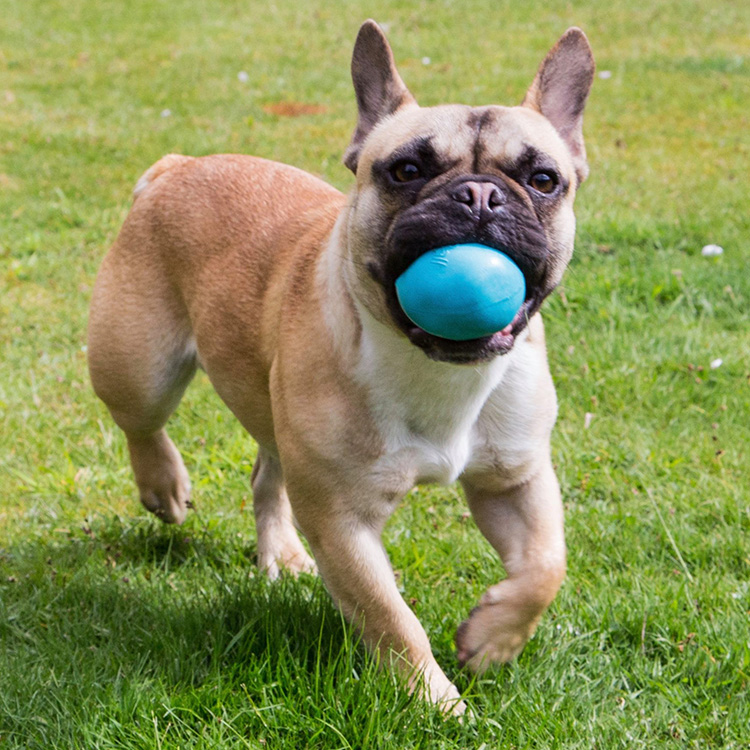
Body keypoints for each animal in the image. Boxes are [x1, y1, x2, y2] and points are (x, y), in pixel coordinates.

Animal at [86, 20, 592, 716]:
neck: (436, 367)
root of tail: (178, 167)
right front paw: (437, 703)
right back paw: (163, 484)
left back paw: (281, 552)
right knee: (142, 421)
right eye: (405, 170)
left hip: (274, 410)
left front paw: (492, 640)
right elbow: (391, 617)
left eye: (543, 179)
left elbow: (545, 566)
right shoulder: (342, 522)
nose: (479, 195)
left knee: (266, 471)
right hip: (141, 363)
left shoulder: (516, 478)